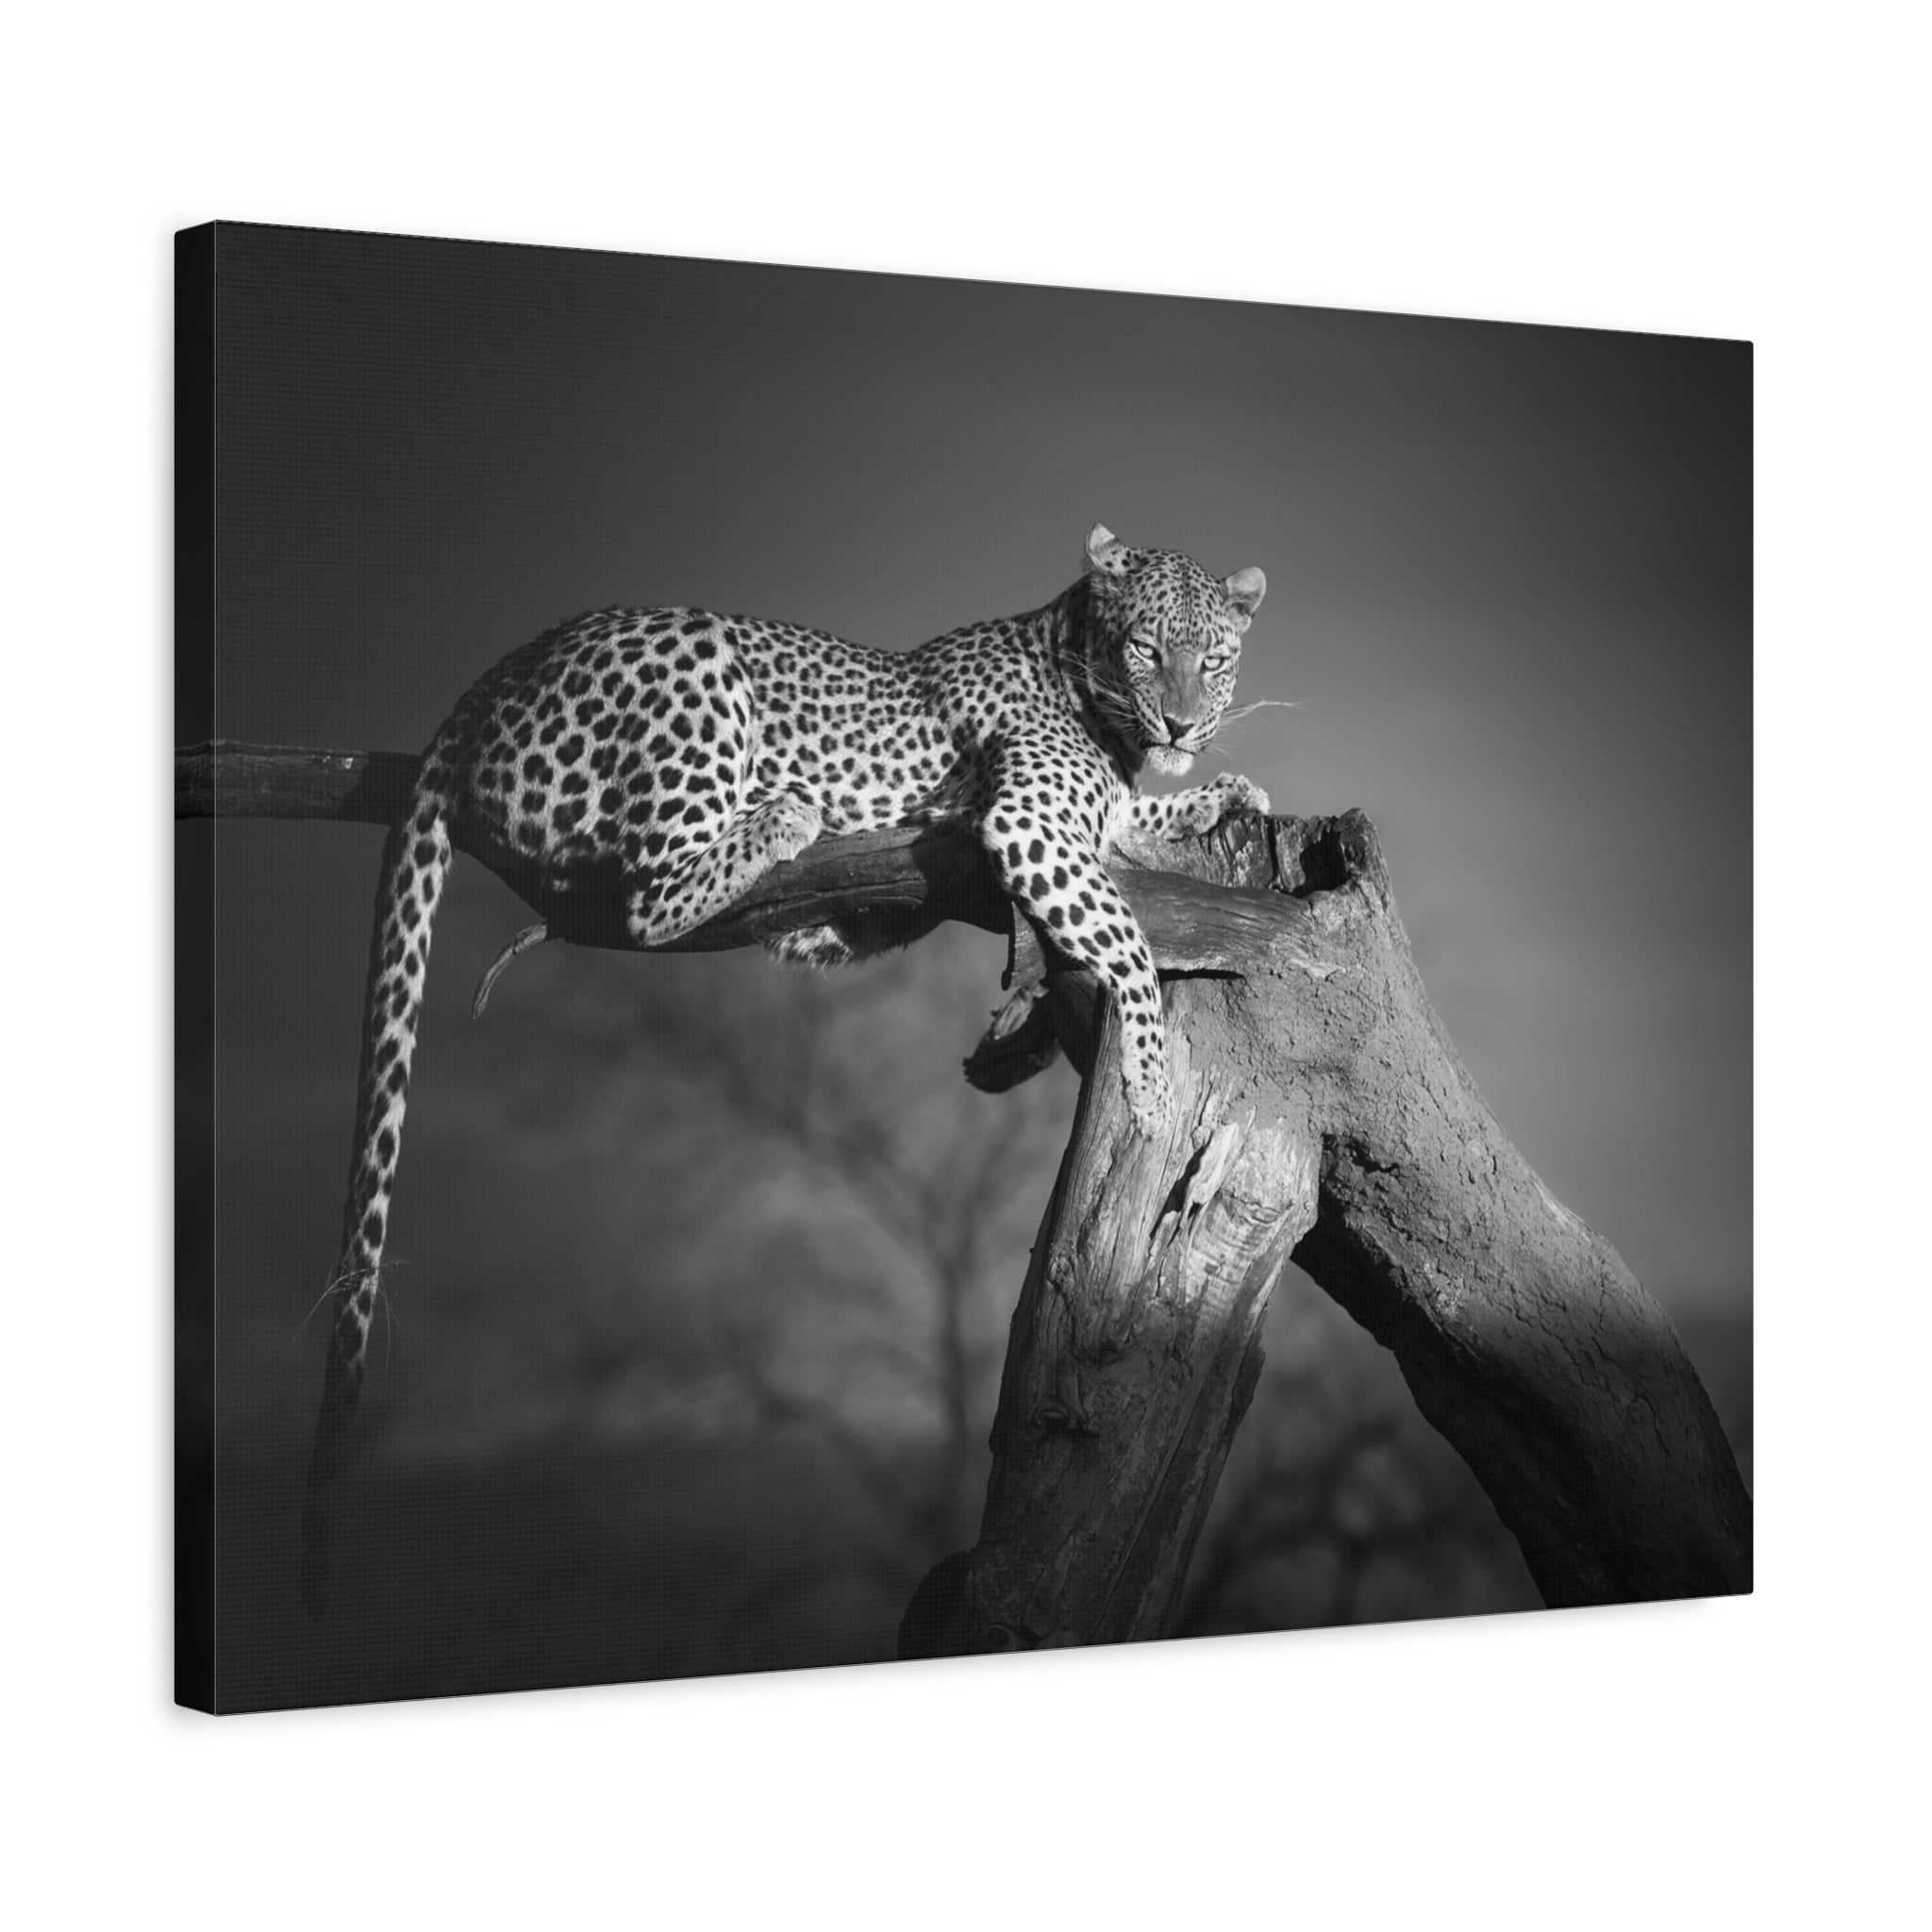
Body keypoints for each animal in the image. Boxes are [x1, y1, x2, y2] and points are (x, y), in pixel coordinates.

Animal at [301, 522, 1268, 1613]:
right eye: (1146, 649)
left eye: (1213, 659)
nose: (1182, 719)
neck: (1088, 686)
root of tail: (482, 688)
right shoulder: (1029, 824)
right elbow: (1131, 944)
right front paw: (1148, 1076)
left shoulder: (1084, 822)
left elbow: (1139, 826)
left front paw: (1222, 793)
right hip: (694, 678)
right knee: (645, 899)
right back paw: (785, 815)